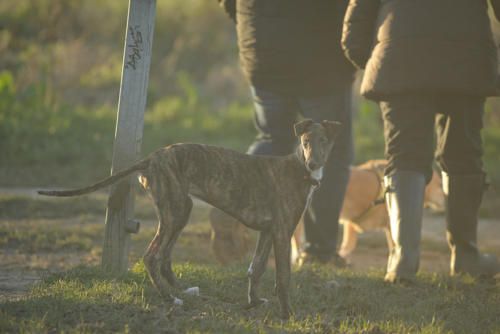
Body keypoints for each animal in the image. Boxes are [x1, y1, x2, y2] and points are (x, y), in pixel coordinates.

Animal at [39, 119, 342, 318]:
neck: (300, 169)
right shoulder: (282, 233)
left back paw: (183, 291)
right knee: (152, 256)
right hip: (176, 210)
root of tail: (150, 158)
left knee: (164, 256)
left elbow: (255, 269)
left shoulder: (267, 232)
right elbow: (283, 277)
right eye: (305, 143)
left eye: (324, 142)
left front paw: (255, 301)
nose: (314, 163)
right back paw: (170, 298)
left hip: (179, 211)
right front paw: (288, 314)